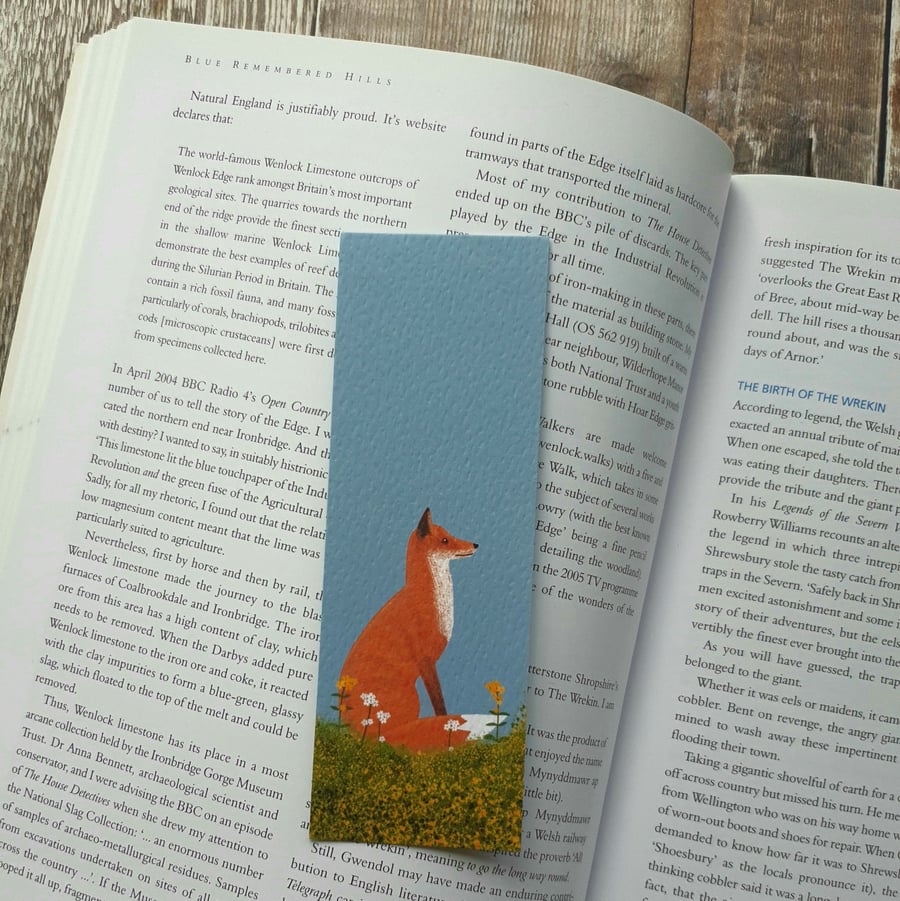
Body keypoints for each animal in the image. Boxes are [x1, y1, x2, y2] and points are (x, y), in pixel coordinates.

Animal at [338, 508, 495, 751]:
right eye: (444, 540)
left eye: (450, 534)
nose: (475, 544)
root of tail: (359, 735)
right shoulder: (426, 660)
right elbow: (440, 705)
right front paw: (447, 730)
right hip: (411, 697)